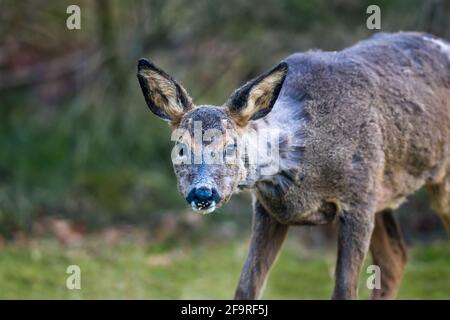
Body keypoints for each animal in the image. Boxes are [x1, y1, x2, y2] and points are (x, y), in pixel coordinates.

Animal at [137, 31, 450, 298]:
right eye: (180, 148)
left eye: (231, 146)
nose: (202, 193)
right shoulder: (269, 209)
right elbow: (246, 288)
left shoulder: (358, 198)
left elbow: (344, 291)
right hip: (382, 194)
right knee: (395, 259)